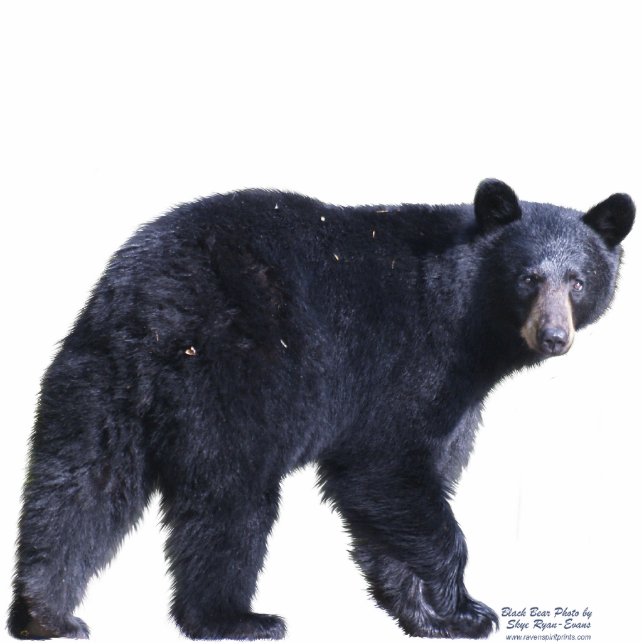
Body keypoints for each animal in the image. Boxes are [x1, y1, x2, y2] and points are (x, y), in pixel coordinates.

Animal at [8, 179, 635, 640]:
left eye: (578, 282)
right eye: (528, 278)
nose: (554, 336)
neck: (467, 318)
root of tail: (148, 305)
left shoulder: (458, 399)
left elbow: (406, 494)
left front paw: (428, 614)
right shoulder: (409, 362)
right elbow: (385, 470)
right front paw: (465, 607)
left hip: (95, 384)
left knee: (77, 490)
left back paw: (46, 615)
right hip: (232, 381)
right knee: (231, 503)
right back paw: (235, 618)